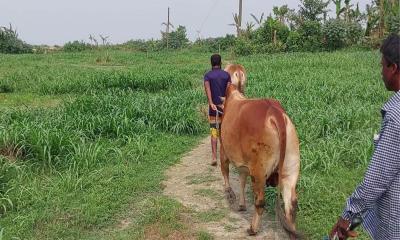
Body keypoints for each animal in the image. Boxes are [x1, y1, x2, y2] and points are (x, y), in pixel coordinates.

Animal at [220, 84, 302, 238]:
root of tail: (275, 112)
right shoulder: (244, 165)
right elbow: (241, 180)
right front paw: (241, 205)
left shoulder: (224, 150)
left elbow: (225, 171)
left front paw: (229, 194)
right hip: (290, 169)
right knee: (291, 205)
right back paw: (292, 232)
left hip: (259, 171)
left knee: (259, 202)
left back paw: (253, 229)